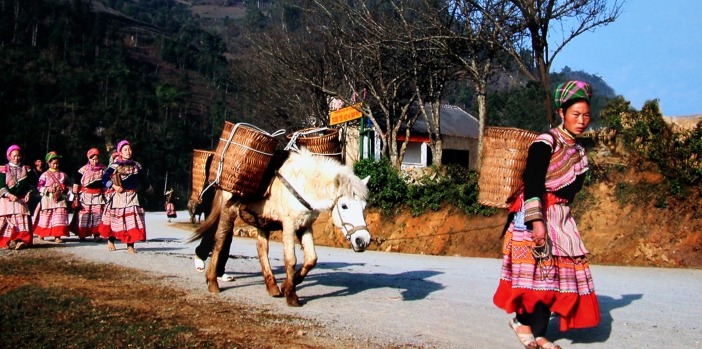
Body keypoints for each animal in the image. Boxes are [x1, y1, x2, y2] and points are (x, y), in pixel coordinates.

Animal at [187, 148, 374, 306]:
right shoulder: (289, 225)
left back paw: (272, 286)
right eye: (344, 206)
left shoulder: (305, 225)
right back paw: (212, 281)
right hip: (228, 211)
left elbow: (311, 259)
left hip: (261, 220)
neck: (302, 185)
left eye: (364, 206)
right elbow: (291, 259)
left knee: (261, 249)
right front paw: (291, 295)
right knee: (219, 240)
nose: (363, 240)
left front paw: (287, 285)